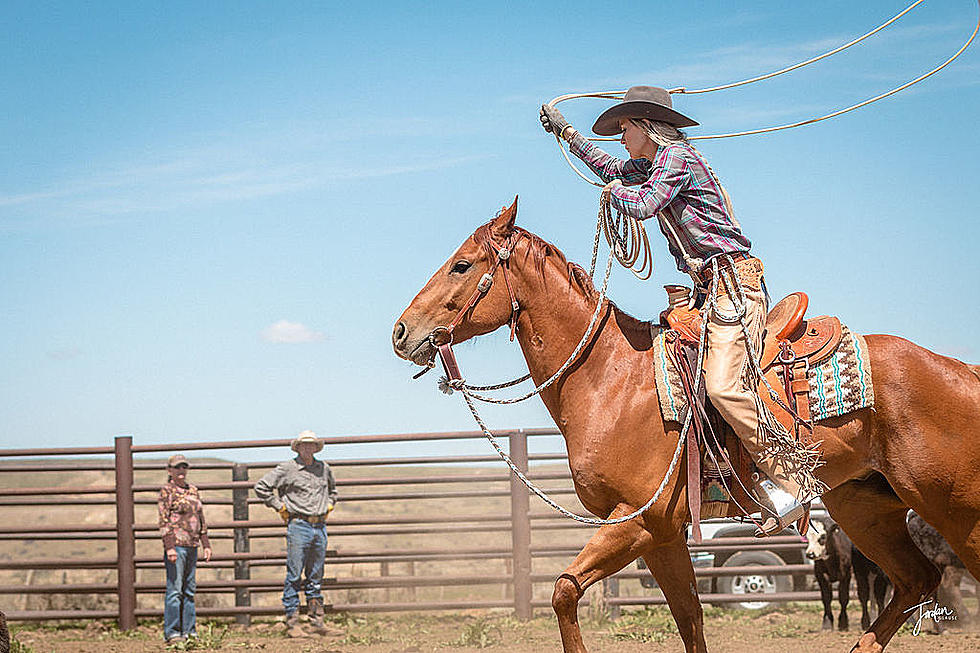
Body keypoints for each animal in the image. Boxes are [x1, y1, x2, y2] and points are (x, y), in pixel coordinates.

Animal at [390, 200, 980, 652]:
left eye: (462, 265)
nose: (401, 331)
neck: (610, 380)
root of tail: (960, 371)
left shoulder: (637, 521)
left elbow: (563, 591)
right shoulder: (663, 537)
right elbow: (689, 618)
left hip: (955, 509)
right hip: (863, 507)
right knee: (915, 580)